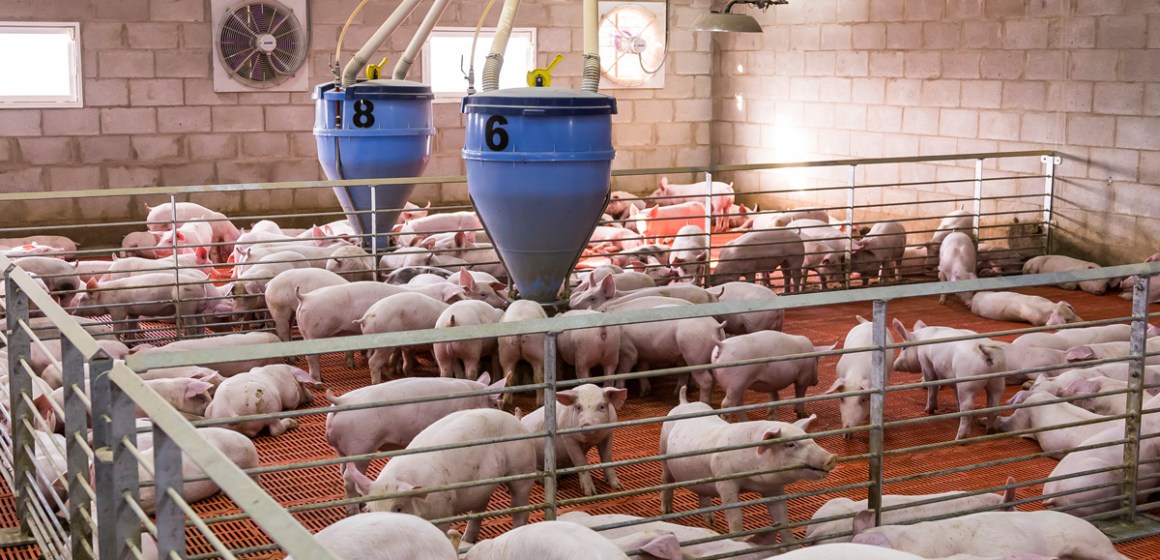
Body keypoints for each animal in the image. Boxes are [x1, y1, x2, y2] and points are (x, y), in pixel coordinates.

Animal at [325, 374, 506, 514]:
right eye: (496, 404)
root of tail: (342, 400)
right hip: (361, 445)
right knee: (348, 477)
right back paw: (355, 511)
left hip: (342, 449)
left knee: (343, 471)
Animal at [344, 408, 536, 543]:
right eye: (369, 510)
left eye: (398, 509)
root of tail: (516, 421)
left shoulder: (443, 509)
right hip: (481, 486)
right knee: (480, 507)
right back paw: (467, 540)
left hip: (522, 469)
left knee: (520, 507)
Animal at [660, 386, 837, 541]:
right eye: (790, 445)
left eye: (811, 439)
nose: (831, 458)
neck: (753, 480)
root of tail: (684, 402)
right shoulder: (725, 481)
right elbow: (735, 516)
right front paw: (738, 541)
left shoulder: (773, 487)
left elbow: (782, 518)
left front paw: (792, 545)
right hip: (663, 450)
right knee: (666, 480)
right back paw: (667, 512)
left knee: (702, 492)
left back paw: (711, 521)